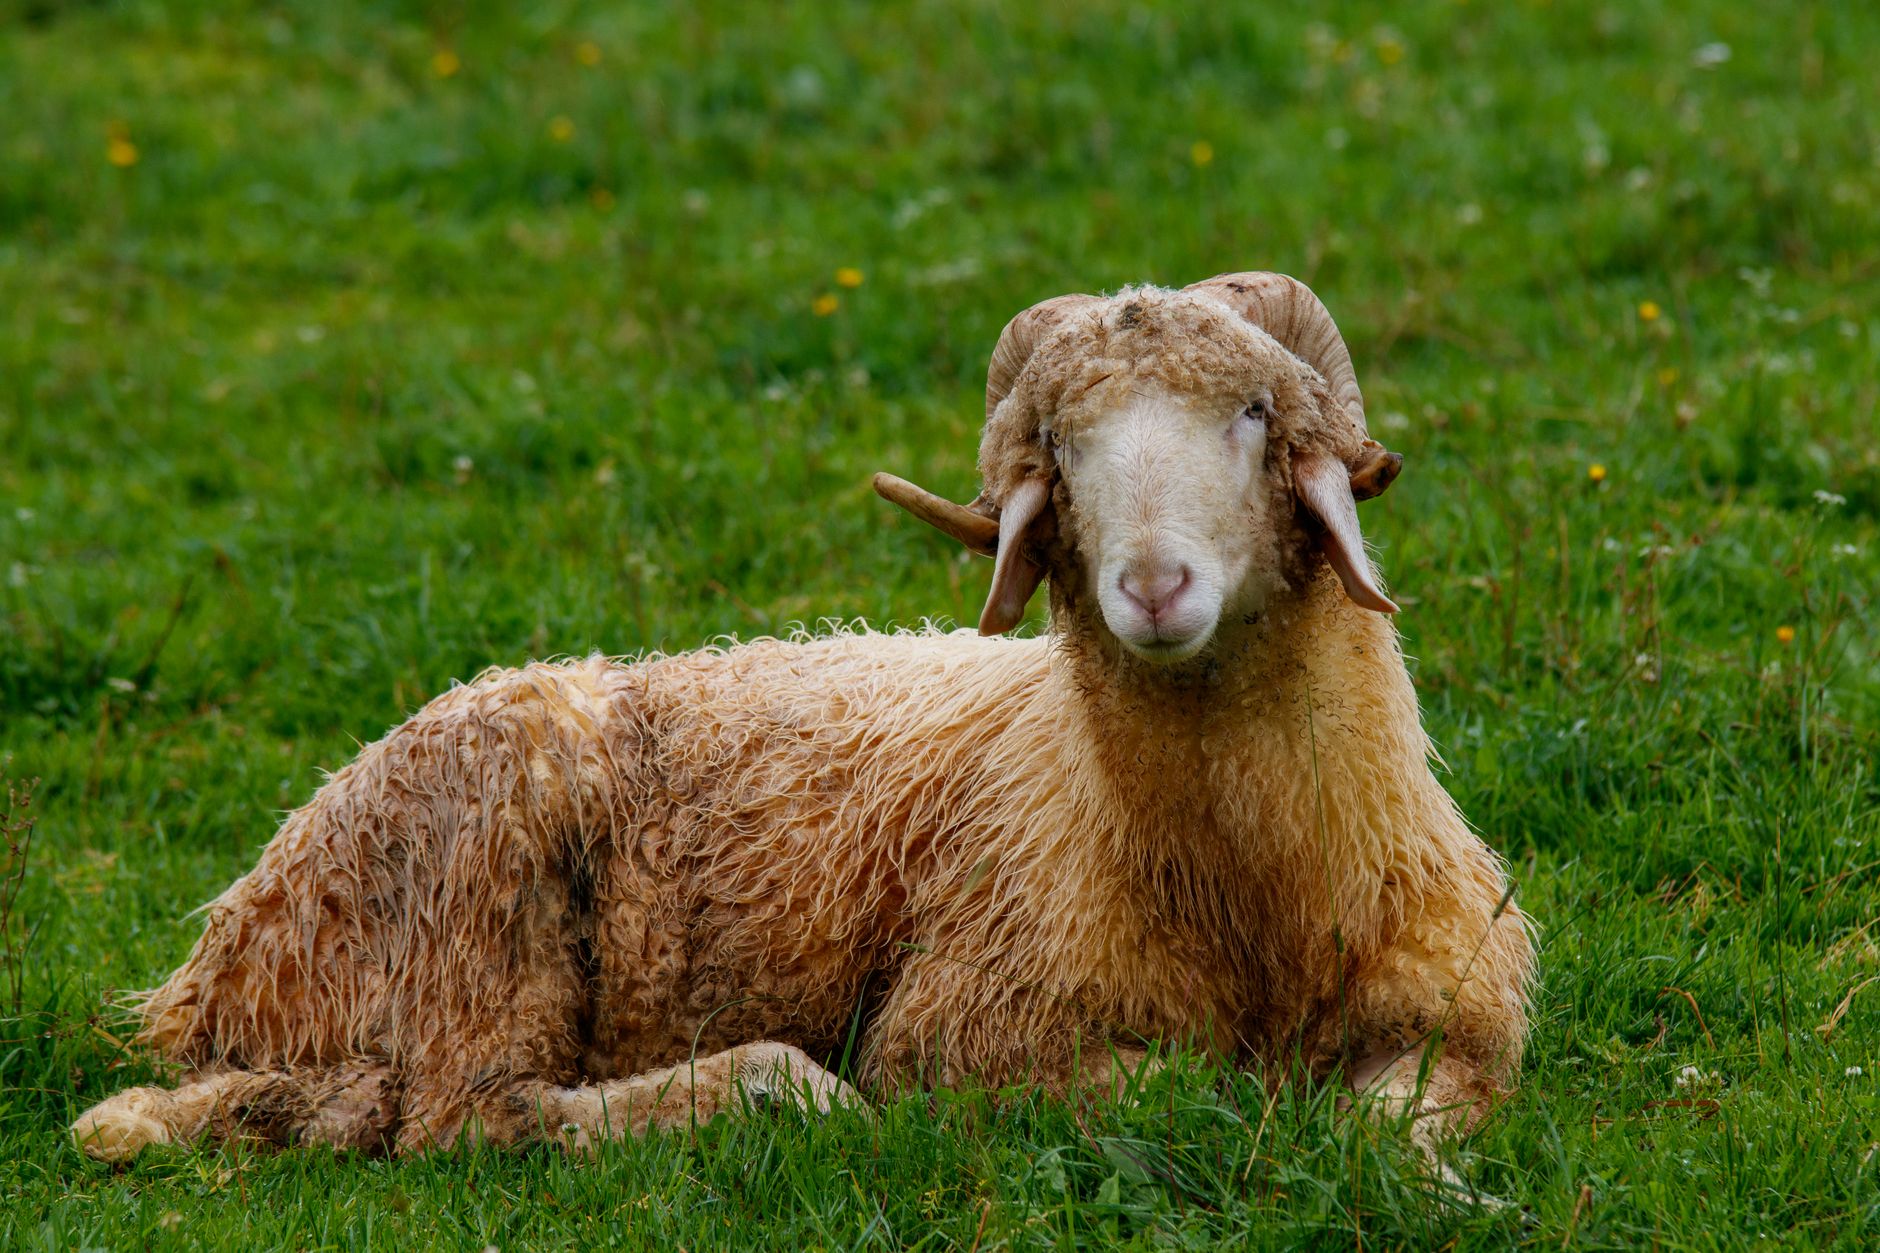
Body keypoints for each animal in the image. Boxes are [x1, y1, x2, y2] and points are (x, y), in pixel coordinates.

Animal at [72, 272, 1532, 1164]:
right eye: (1062, 453)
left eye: (1251, 413)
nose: (1154, 585)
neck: (1247, 892)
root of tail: (221, 944)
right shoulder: (963, 1031)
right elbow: (1181, 1087)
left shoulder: (1470, 1017)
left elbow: (1395, 1120)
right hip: (476, 904)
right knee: (469, 1116)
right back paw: (777, 1089)